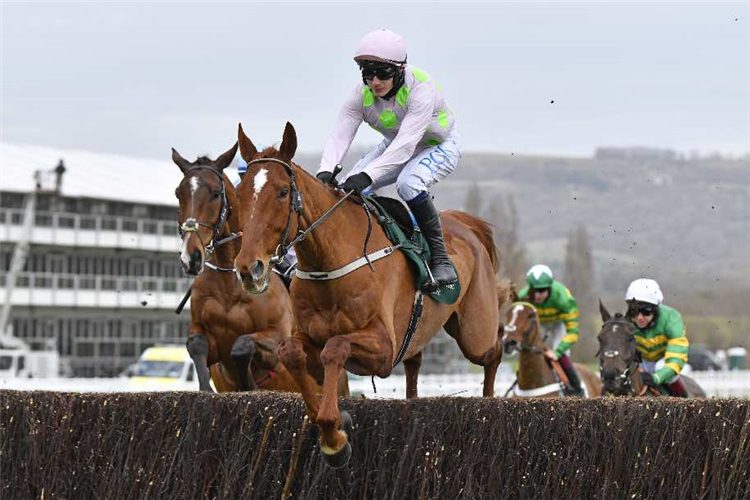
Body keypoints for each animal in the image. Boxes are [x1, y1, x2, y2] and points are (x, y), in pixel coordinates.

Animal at [232, 123, 508, 466]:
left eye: (283, 192)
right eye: (240, 193)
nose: (248, 267)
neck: (329, 263)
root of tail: (465, 224)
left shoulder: (384, 349)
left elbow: (336, 347)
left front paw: (334, 437)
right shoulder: (307, 337)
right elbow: (291, 352)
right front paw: (335, 425)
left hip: (474, 332)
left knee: (493, 350)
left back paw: (490, 400)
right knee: (416, 361)